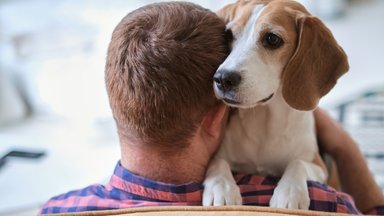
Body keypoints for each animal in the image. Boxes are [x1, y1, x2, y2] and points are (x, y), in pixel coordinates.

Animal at [202, 0, 350, 209]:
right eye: (229, 34)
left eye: (272, 39)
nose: (223, 78)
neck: (265, 122)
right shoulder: (218, 155)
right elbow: (217, 163)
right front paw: (221, 188)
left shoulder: (319, 166)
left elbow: (297, 163)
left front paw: (289, 193)